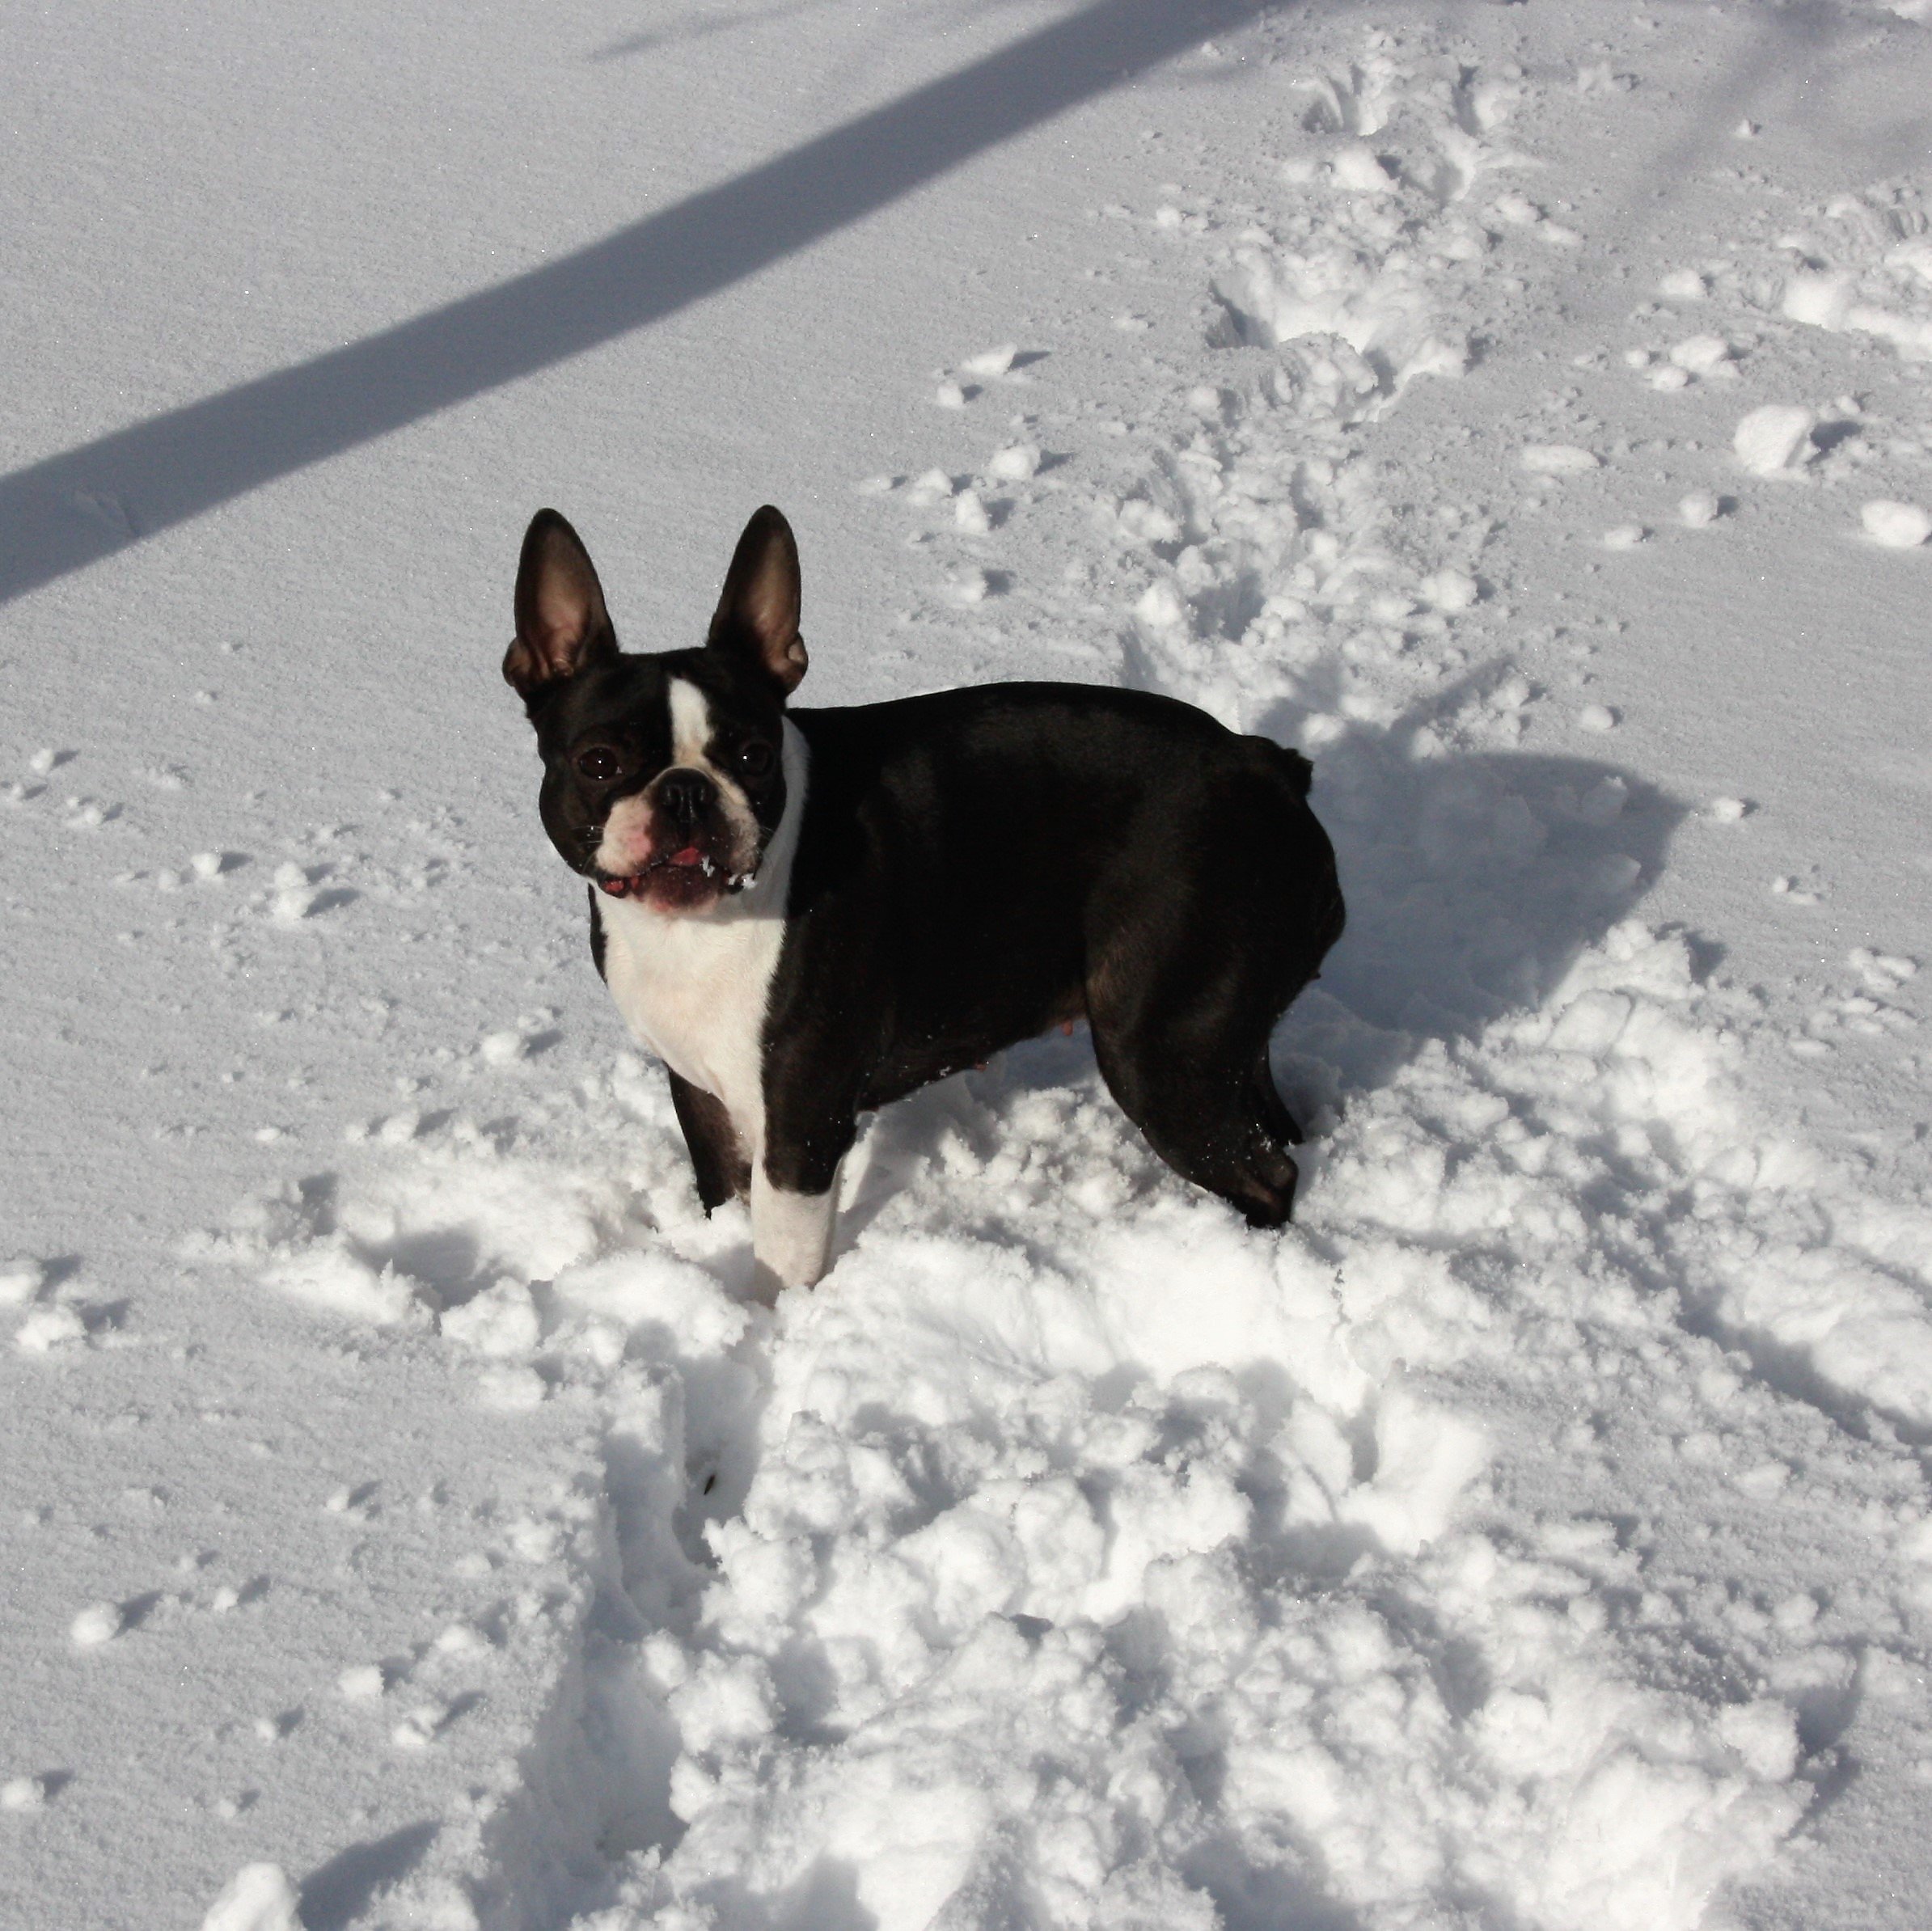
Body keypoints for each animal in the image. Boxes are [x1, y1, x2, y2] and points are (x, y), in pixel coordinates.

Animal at [498, 509, 1344, 1297]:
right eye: (597, 762)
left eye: (754, 756)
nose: (685, 791)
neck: (695, 928)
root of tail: (1268, 767)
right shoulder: (703, 1095)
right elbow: (722, 1198)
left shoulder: (801, 1124)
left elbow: (782, 1262)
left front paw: (774, 1331)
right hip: (1220, 1026)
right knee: (1268, 1113)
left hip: (1157, 1047)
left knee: (1264, 1173)